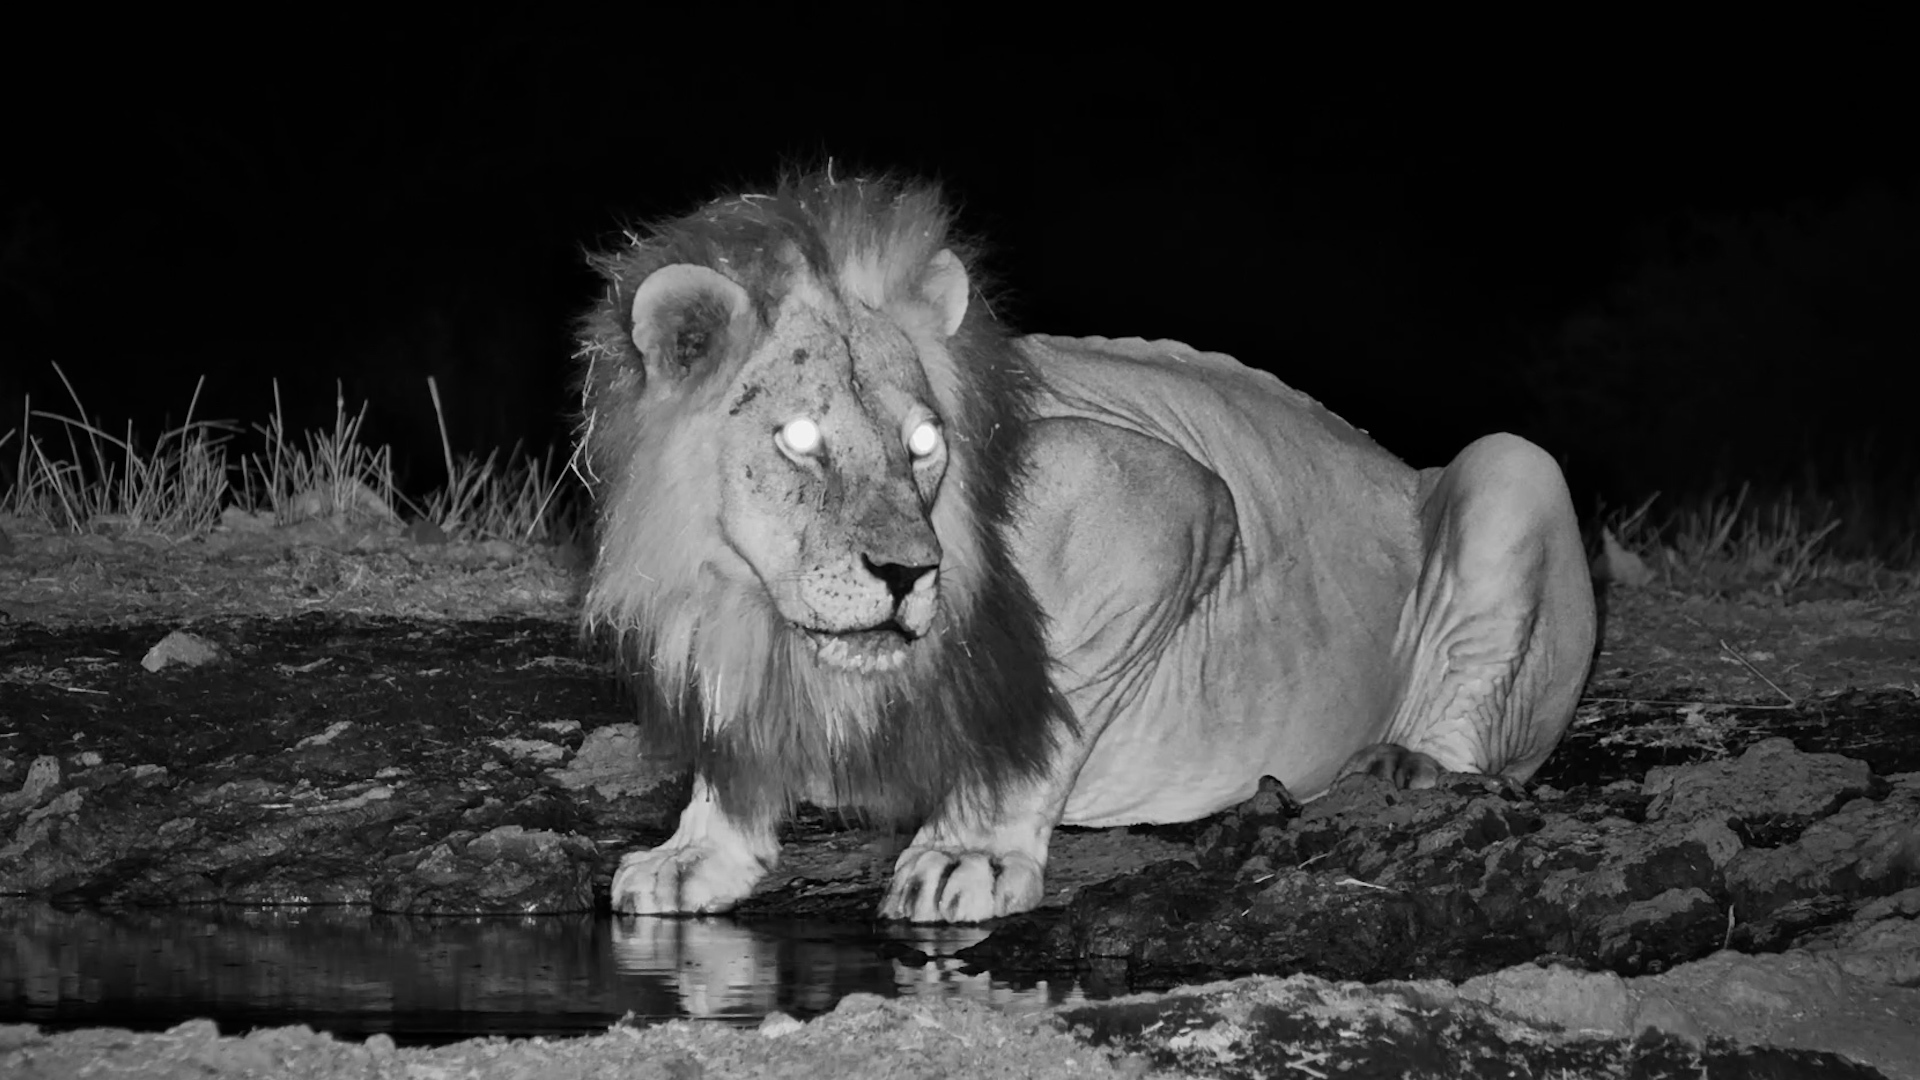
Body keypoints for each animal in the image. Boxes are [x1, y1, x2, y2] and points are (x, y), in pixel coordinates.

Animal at [575, 171, 1596, 924]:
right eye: (797, 438)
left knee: (1482, 728)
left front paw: (968, 854)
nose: (907, 575)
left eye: (924, 443)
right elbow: (729, 748)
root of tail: (1393, 461)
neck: (774, 626)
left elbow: (1049, 704)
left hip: (1514, 466)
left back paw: (1404, 764)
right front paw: (694, 855)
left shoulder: (1168, 498)